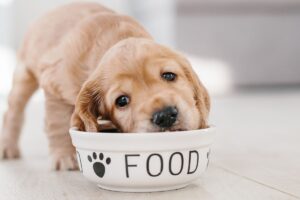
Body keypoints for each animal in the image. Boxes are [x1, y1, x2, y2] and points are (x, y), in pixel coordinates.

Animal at [0, 2, 210, 170]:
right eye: (122, 101)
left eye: (169, 75)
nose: (165, 116)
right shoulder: (54, 86)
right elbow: (57, 122)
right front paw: (64, 156)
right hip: (24, 75)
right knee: (13, 112)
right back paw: (8, 147)